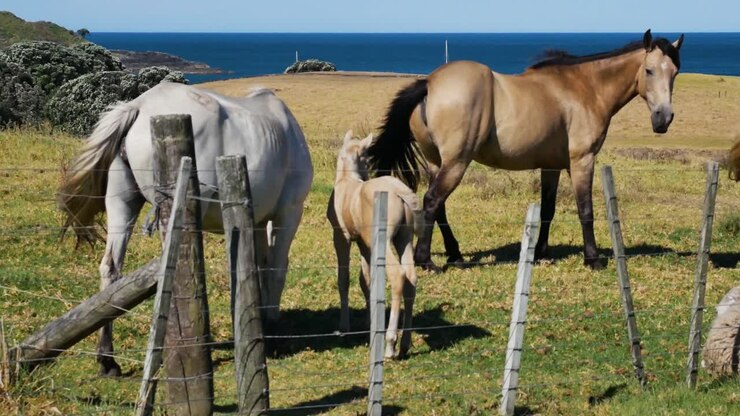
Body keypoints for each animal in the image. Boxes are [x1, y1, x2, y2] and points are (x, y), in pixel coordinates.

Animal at [58, 82, 313, 376]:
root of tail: (139, 107)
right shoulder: (289, 213)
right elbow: (276, 269)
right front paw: (271, 329)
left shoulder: (258, 221)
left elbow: (258, 268)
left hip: (121, 205)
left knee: (111, 270)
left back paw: (108, 359)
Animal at [327, 131, 421, 358]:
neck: (347, 180)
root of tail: (399, 191)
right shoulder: (364, 244)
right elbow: (366, 280)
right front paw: (370, 322)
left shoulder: (341, 237)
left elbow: (344, 279)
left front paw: (344, 327)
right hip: (404, 239)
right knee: (411, 277)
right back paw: (405, 343)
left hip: (385, 241)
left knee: (398, 276)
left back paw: (390, 344)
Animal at [366, 30, 684, 271]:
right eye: (649, 70)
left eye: (675, 73)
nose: (664, 118)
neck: (584, 88)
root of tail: (430, 83)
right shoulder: (582, 161)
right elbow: (585, 209)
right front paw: (592, 258)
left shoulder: (551, 165)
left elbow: (548, 209)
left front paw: (541, 252)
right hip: (456, 162)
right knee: (432, 201)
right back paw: (426, 261)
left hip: (438, 162)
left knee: (438, 205)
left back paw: (455, 254)